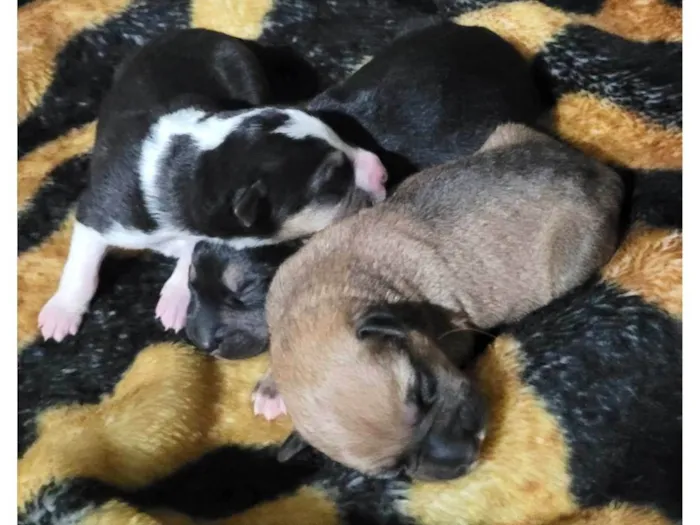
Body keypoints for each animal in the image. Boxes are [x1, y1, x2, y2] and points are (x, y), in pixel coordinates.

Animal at [38, 28, 388, 342]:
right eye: (333, 180)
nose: (382, 171)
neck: (192, 163)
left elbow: (191, 251)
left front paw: (176, 298)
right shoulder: (102, 207)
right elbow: (82, 264)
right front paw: (62, 312)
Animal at [254, 124, 620, 478]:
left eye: (425, 389)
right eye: (395, 471)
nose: (468, 454)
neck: (318, 295)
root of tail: (601, 173)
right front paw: (272, 388)